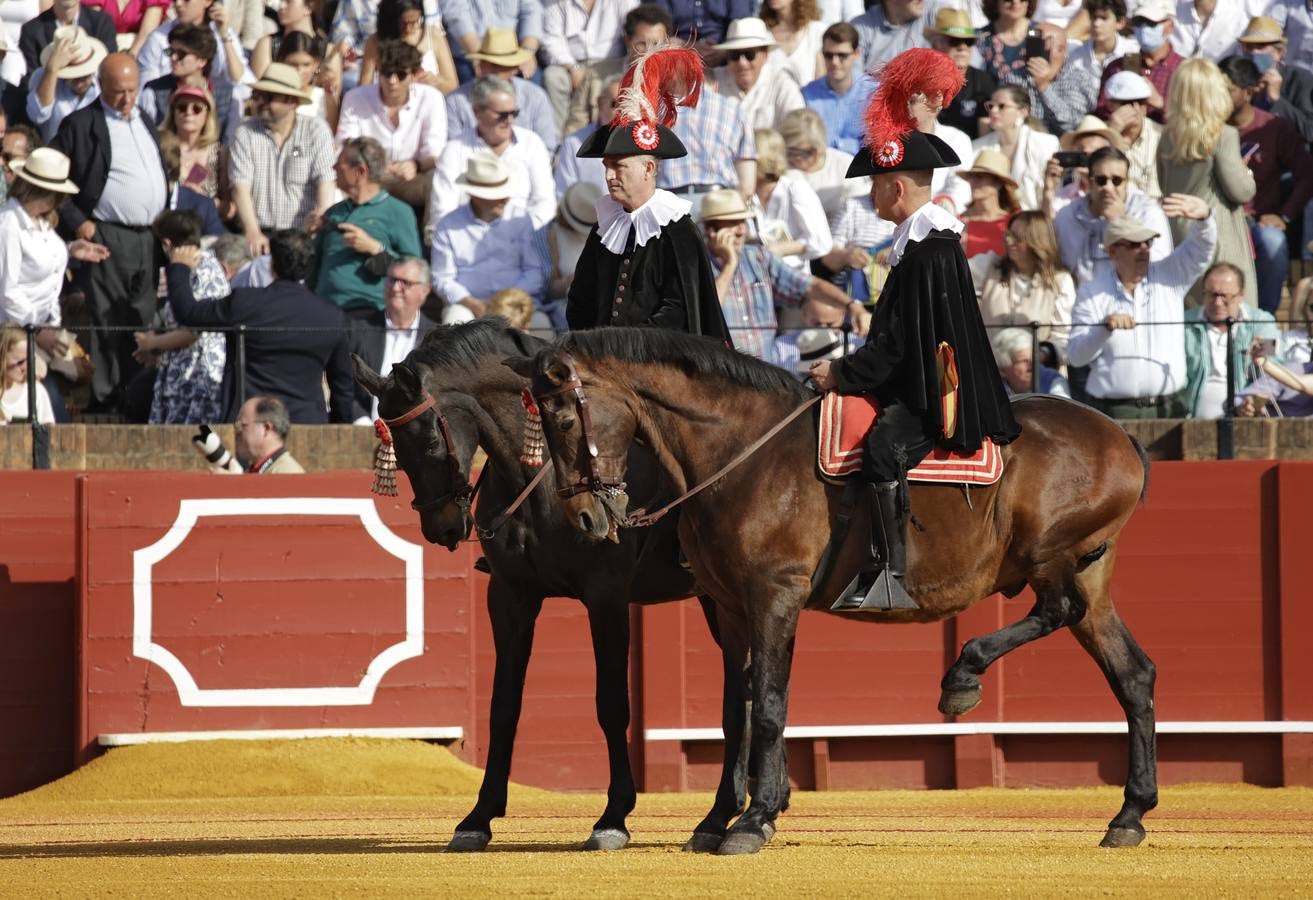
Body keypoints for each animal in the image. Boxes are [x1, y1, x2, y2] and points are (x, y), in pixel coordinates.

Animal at [354, 319, 751, 851]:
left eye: (432, 443)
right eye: (396, 453)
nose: (441, 528)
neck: (538, 480)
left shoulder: (606, 598)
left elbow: (612, 704)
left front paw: (612, 817)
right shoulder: (509, 596)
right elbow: (503, 705)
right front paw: (477, 817)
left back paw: (724, 812)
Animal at [506, 328, 1155, 856]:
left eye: (564, 421)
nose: (586, 518)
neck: (741, 450)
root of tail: (1121, 436)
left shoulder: (775, 594)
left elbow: (770, 704)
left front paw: (754, 822)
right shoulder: (729, 606)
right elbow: (736, 710)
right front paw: (718, 820)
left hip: (1051, 557)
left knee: (1057, 608)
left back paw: (962, 678)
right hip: (1092, 578)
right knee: (1133, 674)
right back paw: (1129, 814)